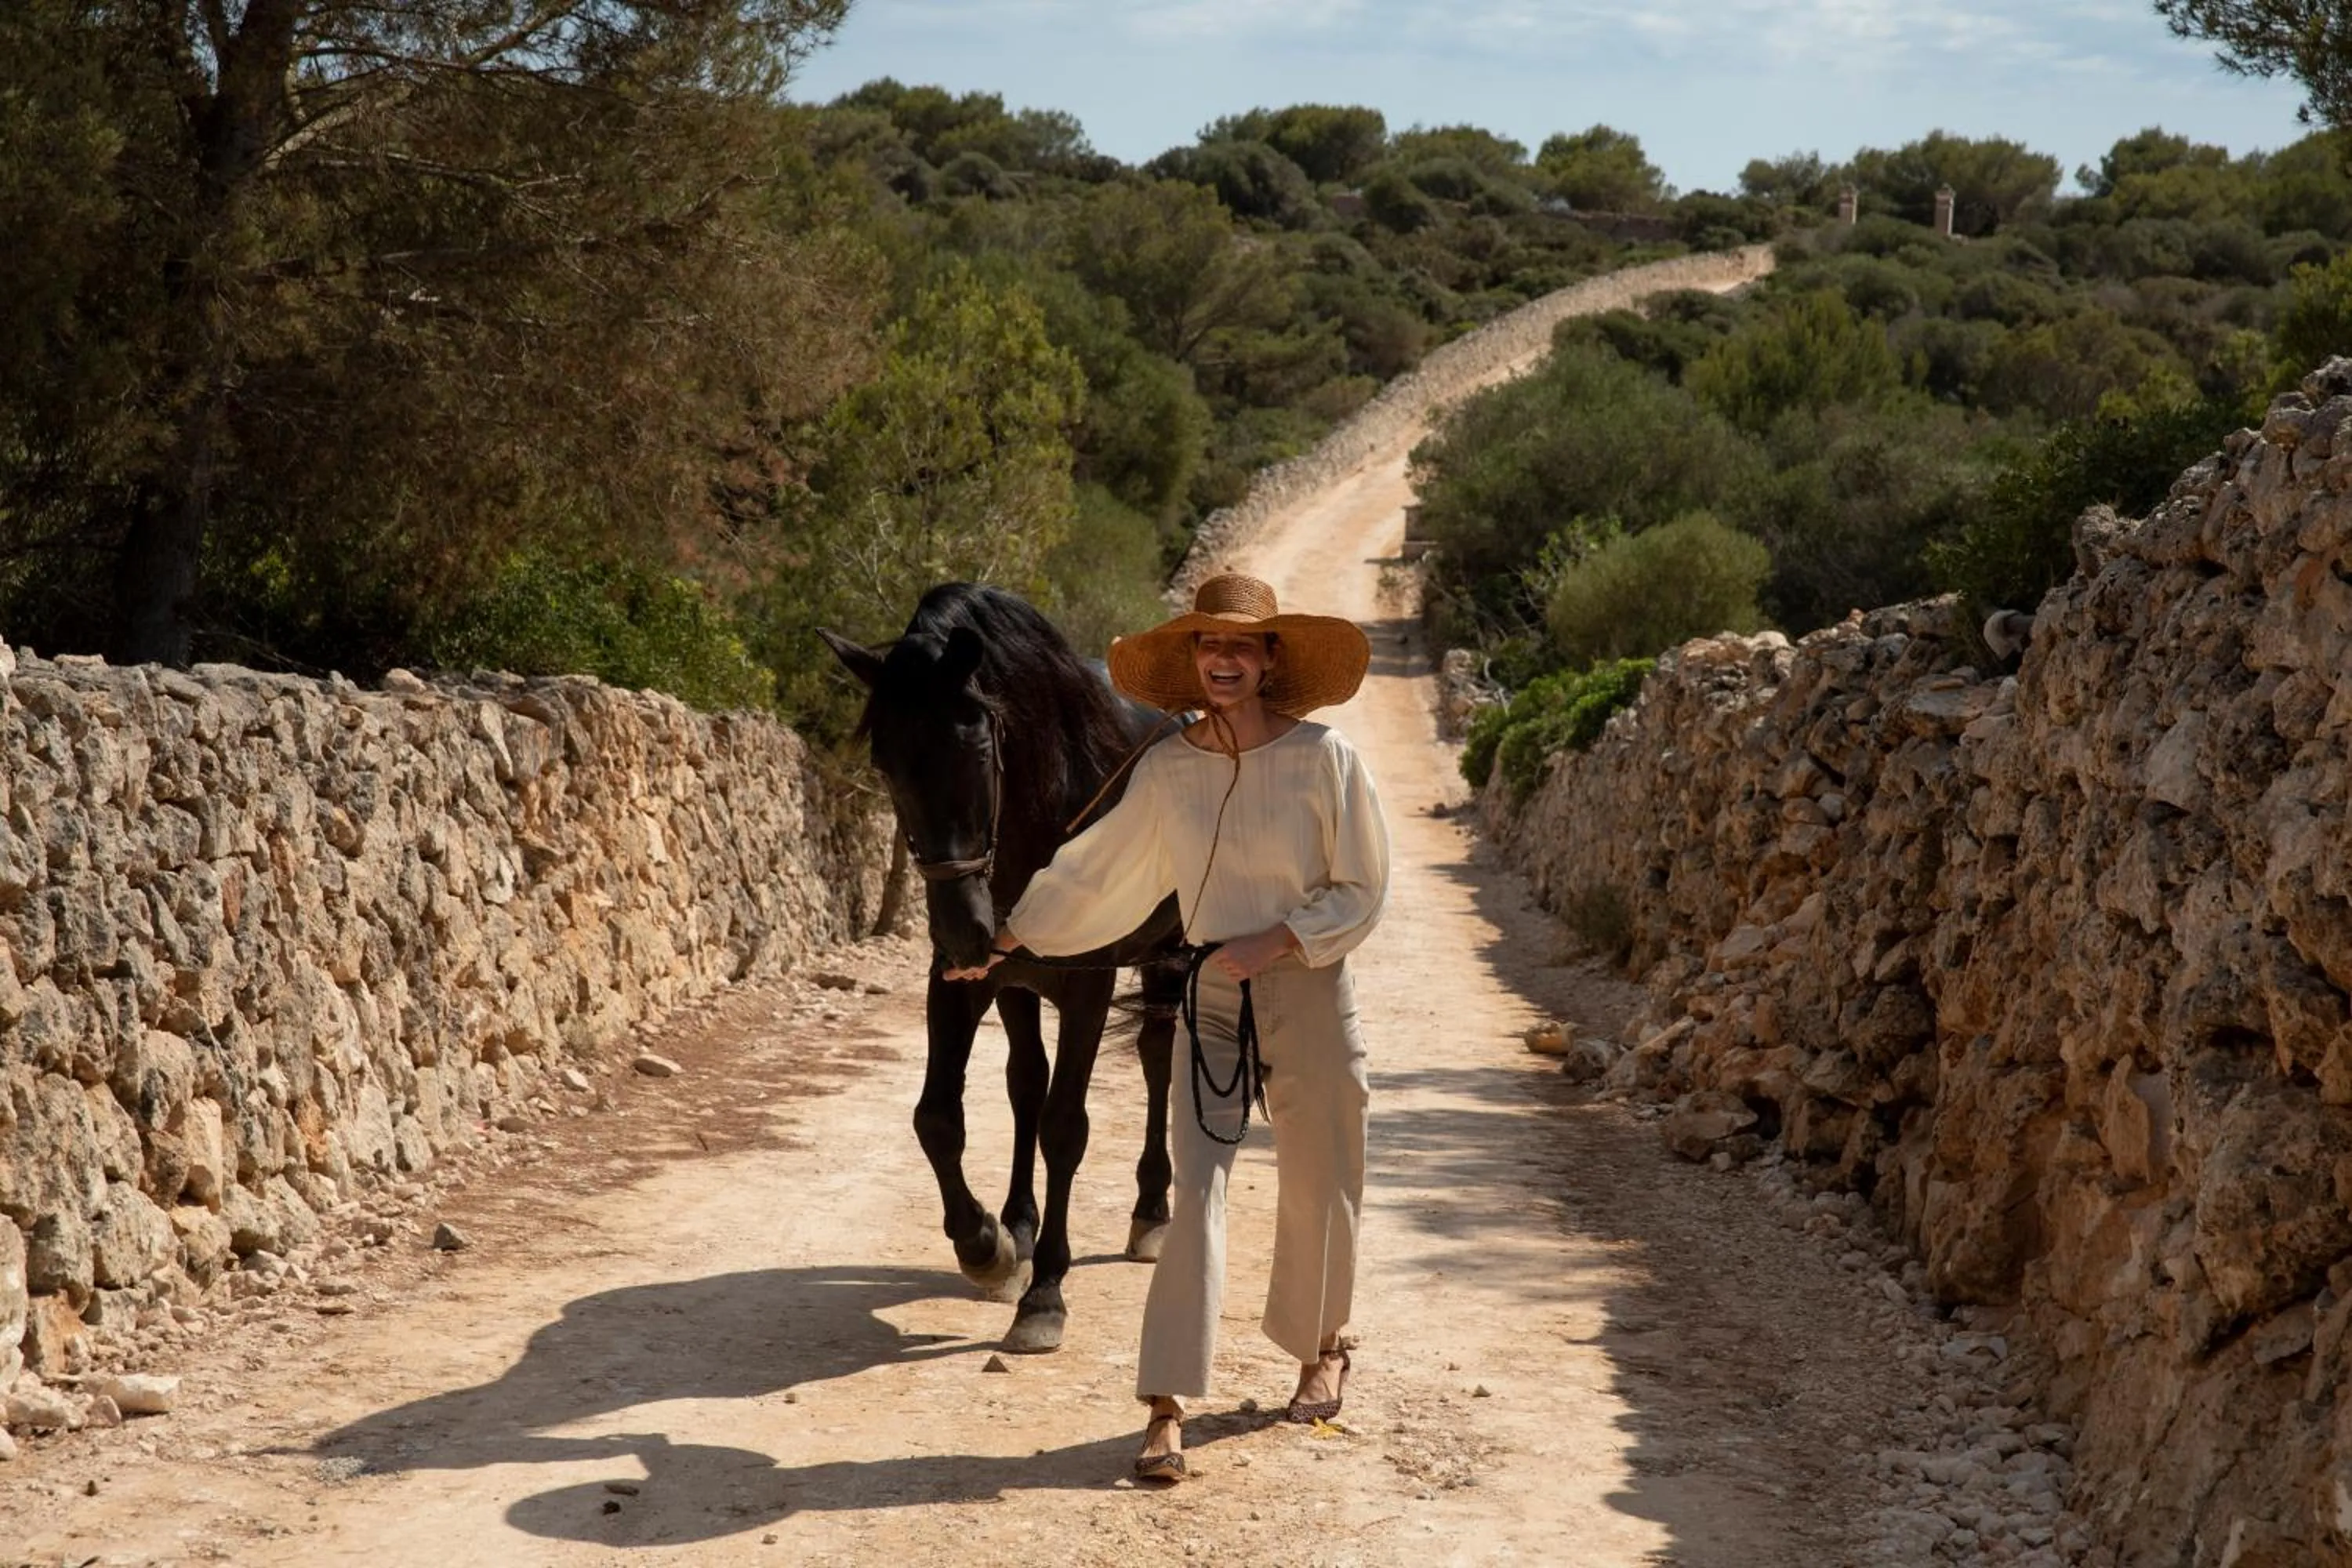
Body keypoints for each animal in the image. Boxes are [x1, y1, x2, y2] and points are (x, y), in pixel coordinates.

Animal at [821, 583, 1186, 1354]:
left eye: (979, 746)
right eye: (885, 761)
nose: (964, 928)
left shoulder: (1088, 983)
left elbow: (1066, 1127)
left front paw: (1045, 1294)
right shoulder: (962, 983)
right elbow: (939, 1118)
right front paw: (986, 1244)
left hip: (1168, 954)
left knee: (1154, 1058)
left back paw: (1151, 1209)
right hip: (1019, 986)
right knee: (1025, 1083)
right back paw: (1018, 1225)